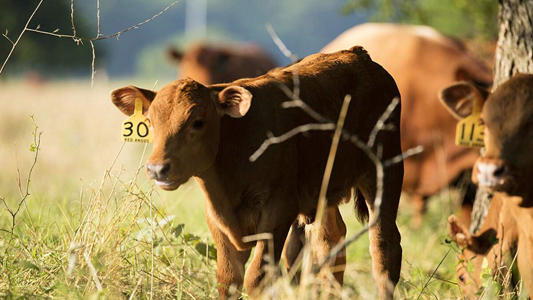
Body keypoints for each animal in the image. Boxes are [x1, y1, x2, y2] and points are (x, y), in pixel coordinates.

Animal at [113, 46, 404, 298]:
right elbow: (228, 279)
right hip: (323, 193)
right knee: (330, 245)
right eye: (150, 121)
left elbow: (257, 278)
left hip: (385, 172)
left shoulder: (278, 211)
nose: (157, 168)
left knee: (384, 250)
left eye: (197, 122)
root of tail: (358, 55)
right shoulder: (217, 221)